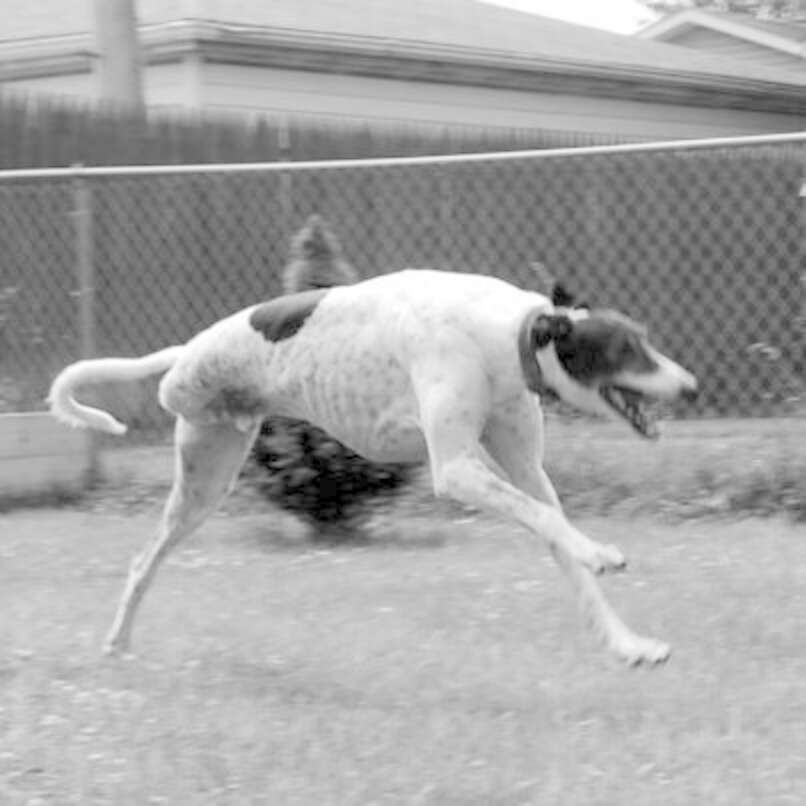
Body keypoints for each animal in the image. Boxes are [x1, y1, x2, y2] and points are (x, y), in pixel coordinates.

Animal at [49, 268, 700, 664]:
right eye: (625, 349)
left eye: (645, 339)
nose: (692, 387)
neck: (504, 335)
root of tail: (187, 350)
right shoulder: (457, 469)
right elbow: (551, 523)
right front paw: (600, 552)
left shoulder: (527, 472)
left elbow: (556, 533)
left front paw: (629, 645)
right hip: (198, 457)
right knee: (144, 556)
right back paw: (117, 640)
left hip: (206, 474)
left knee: (144, 561)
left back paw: (119, 640)